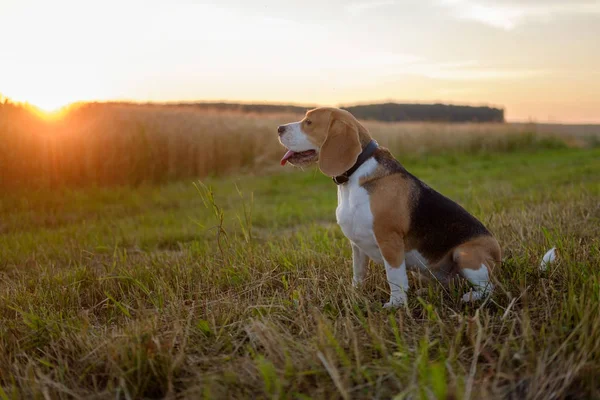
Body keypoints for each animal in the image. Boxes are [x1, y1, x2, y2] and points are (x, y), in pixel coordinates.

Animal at [278, 106, 504, 306]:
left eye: (309, 122)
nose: (279, 128)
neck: (355, 172)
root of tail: (499, 255)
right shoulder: (356, 246)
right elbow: (358, 274)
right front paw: (355, 294)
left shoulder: (389, 240)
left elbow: (394, 277)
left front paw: (396, 304)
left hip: (464, 254)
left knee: (488, 288)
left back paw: (470, 297)